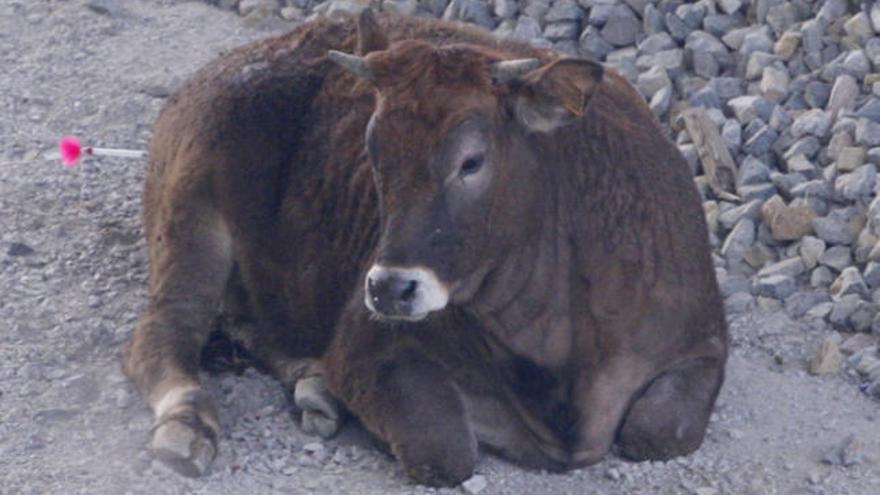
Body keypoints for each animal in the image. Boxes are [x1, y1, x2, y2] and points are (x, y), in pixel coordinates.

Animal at [124, 10, 728, 488]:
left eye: (472, 161)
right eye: (372, 151)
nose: (390, 288)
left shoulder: (703, 340)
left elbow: (659, 432)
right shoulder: (367, 345)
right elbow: (443, 449)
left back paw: (314, 389)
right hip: (187, 209)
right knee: (160, 335)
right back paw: (187, 426)